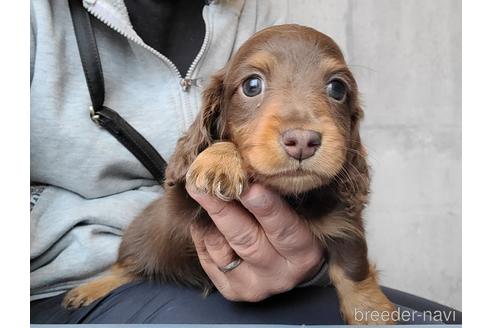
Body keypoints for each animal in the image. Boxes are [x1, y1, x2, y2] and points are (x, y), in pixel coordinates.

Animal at [63, 24, 398, 324]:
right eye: (252, 85)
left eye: (337, 88)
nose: (303, 141)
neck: (289, 197)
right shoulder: (188, 206)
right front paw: (220, 160)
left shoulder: (343, 221)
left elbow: (353, 267)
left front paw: (372, 311)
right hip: (140, 238)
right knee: (126, 265)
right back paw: (90, 287)